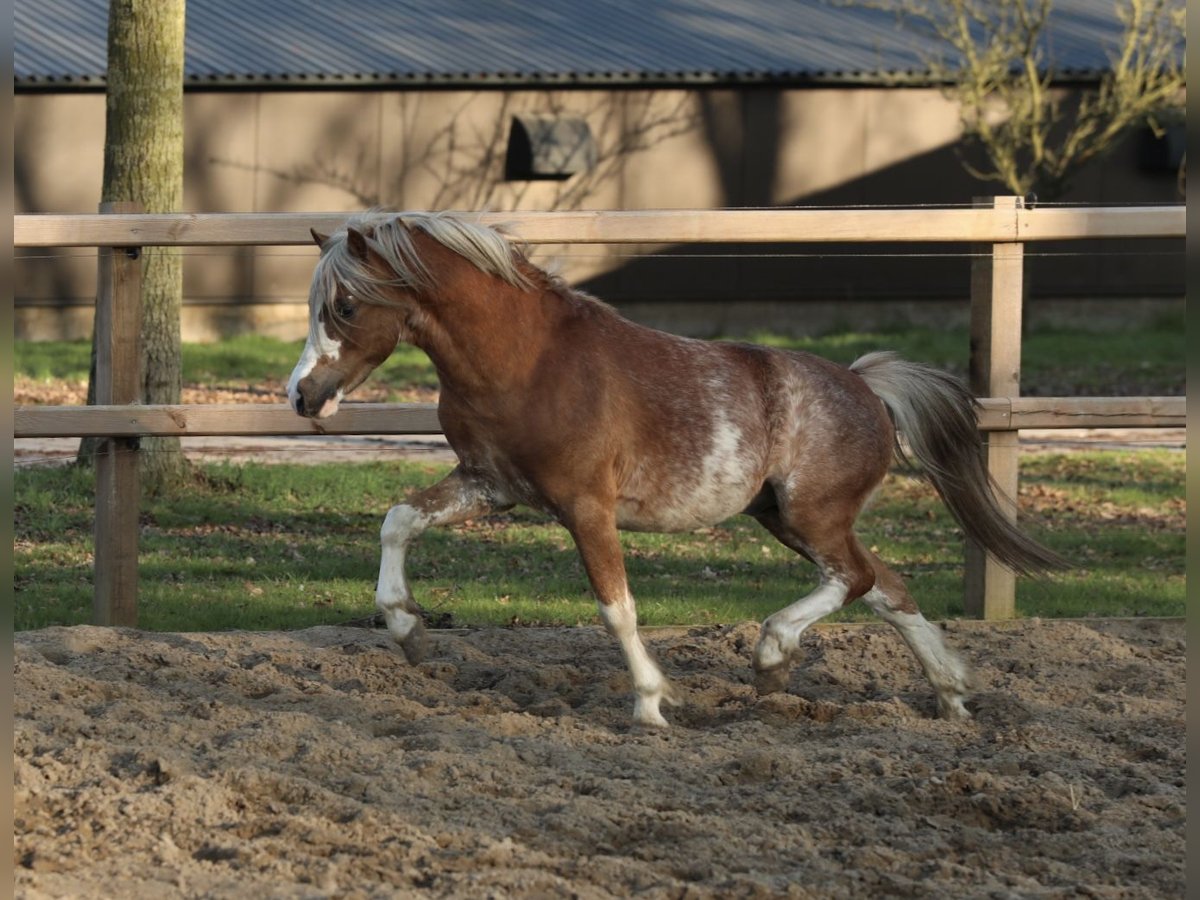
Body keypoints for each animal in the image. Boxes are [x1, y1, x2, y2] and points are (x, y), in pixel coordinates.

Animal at [288, 207, 1070, 729]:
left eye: (345, 305)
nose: (302, 395)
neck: (527, 361)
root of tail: (864, 384)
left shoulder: (585, 506)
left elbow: (616, 607)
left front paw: (652, 703)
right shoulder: (491, 485)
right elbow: (398, 520)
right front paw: (408, 629)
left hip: (813, 516)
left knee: (856, 579)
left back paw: (773, 657)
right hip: (787, 518)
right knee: (888, 586)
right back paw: (951, 694)